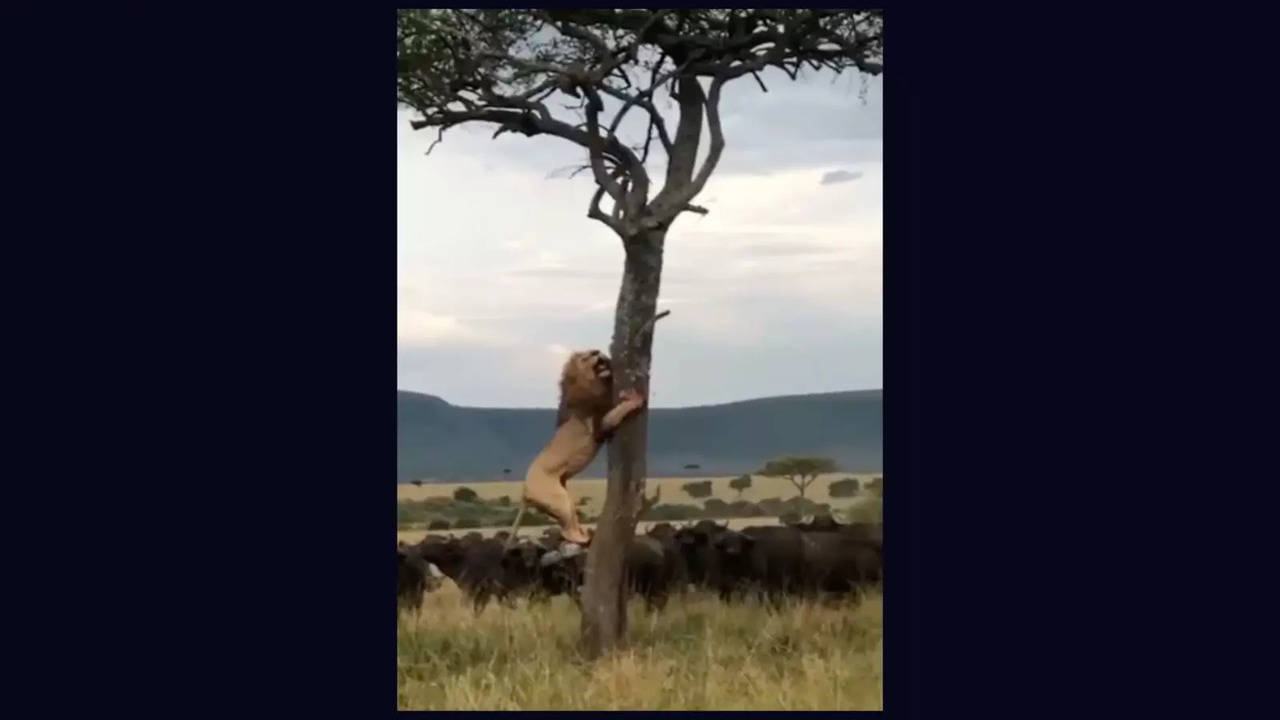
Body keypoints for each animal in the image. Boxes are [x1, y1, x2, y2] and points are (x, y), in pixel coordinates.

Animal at [506, 348, 645, 543]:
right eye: (586, 357)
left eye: (593, 351)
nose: (597, 352)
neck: (594, 384)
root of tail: (525, 491)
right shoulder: (600, 424)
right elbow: (617, 411)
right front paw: (634, 399)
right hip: (557, 497)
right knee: (566, 530)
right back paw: (583, 539)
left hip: (562, 499)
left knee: (569, 521)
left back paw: (585, 534)